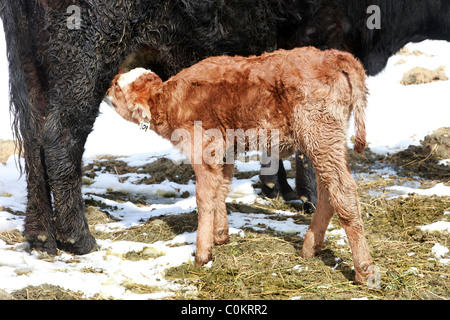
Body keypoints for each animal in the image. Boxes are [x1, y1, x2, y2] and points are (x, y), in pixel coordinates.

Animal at [0, 0, 450, 255]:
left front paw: (277, 189)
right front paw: (301, 194)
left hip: (32, 70)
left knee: (33, 140)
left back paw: (41, 238)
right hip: (82, 63)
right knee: (60, 138)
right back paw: (79, 238)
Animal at [105, 47, 372, 282]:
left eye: (118, 86)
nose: (107, 89)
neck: (172, 101)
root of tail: (332, 56)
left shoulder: (203, 149)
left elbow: (204, 197)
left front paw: (202, 254)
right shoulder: (224, 152)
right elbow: (220, 189)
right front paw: (221, 235)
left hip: (320, 134)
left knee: (343, 191)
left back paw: (364, 271)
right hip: (325, 141)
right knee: (328, 190)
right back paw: (310, 247)